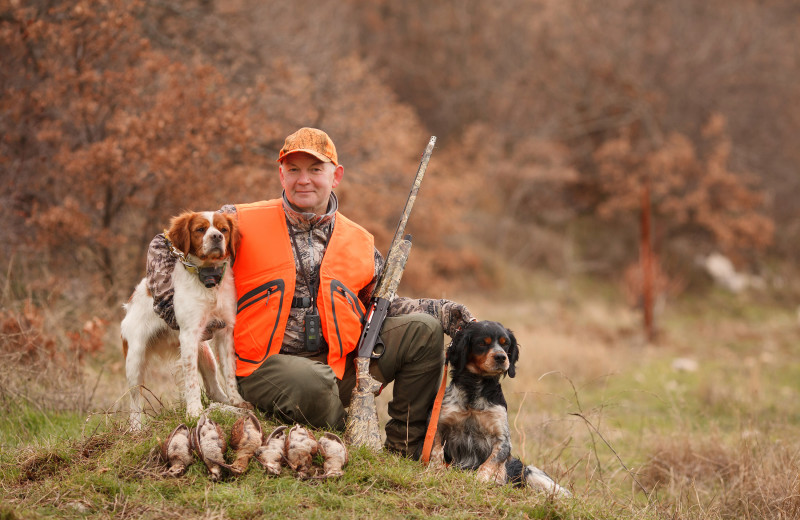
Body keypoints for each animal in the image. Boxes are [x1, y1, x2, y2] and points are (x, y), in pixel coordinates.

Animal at [120, 209, 247, 428]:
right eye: (200, 229)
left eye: (224, 229)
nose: (217, 237)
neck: (209, 281)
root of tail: (133, 298)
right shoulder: (189, 335)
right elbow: (191, 379)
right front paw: (194, 412)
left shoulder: (224, 330)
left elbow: (230, 371)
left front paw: (237, 400)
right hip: (135, 359)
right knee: (135, 398)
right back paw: (136, 427)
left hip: (205, 352)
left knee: (213, 387)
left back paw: (224, 401)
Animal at [428, 320, 572, 496]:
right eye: (482, 343)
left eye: (506, 343)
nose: (501, 357)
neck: (474, 390)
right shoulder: (439, 424)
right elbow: (436, 450)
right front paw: (436, 469)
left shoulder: (502, 439)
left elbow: (489, 463)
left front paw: (481, 479)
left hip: (532, 473)